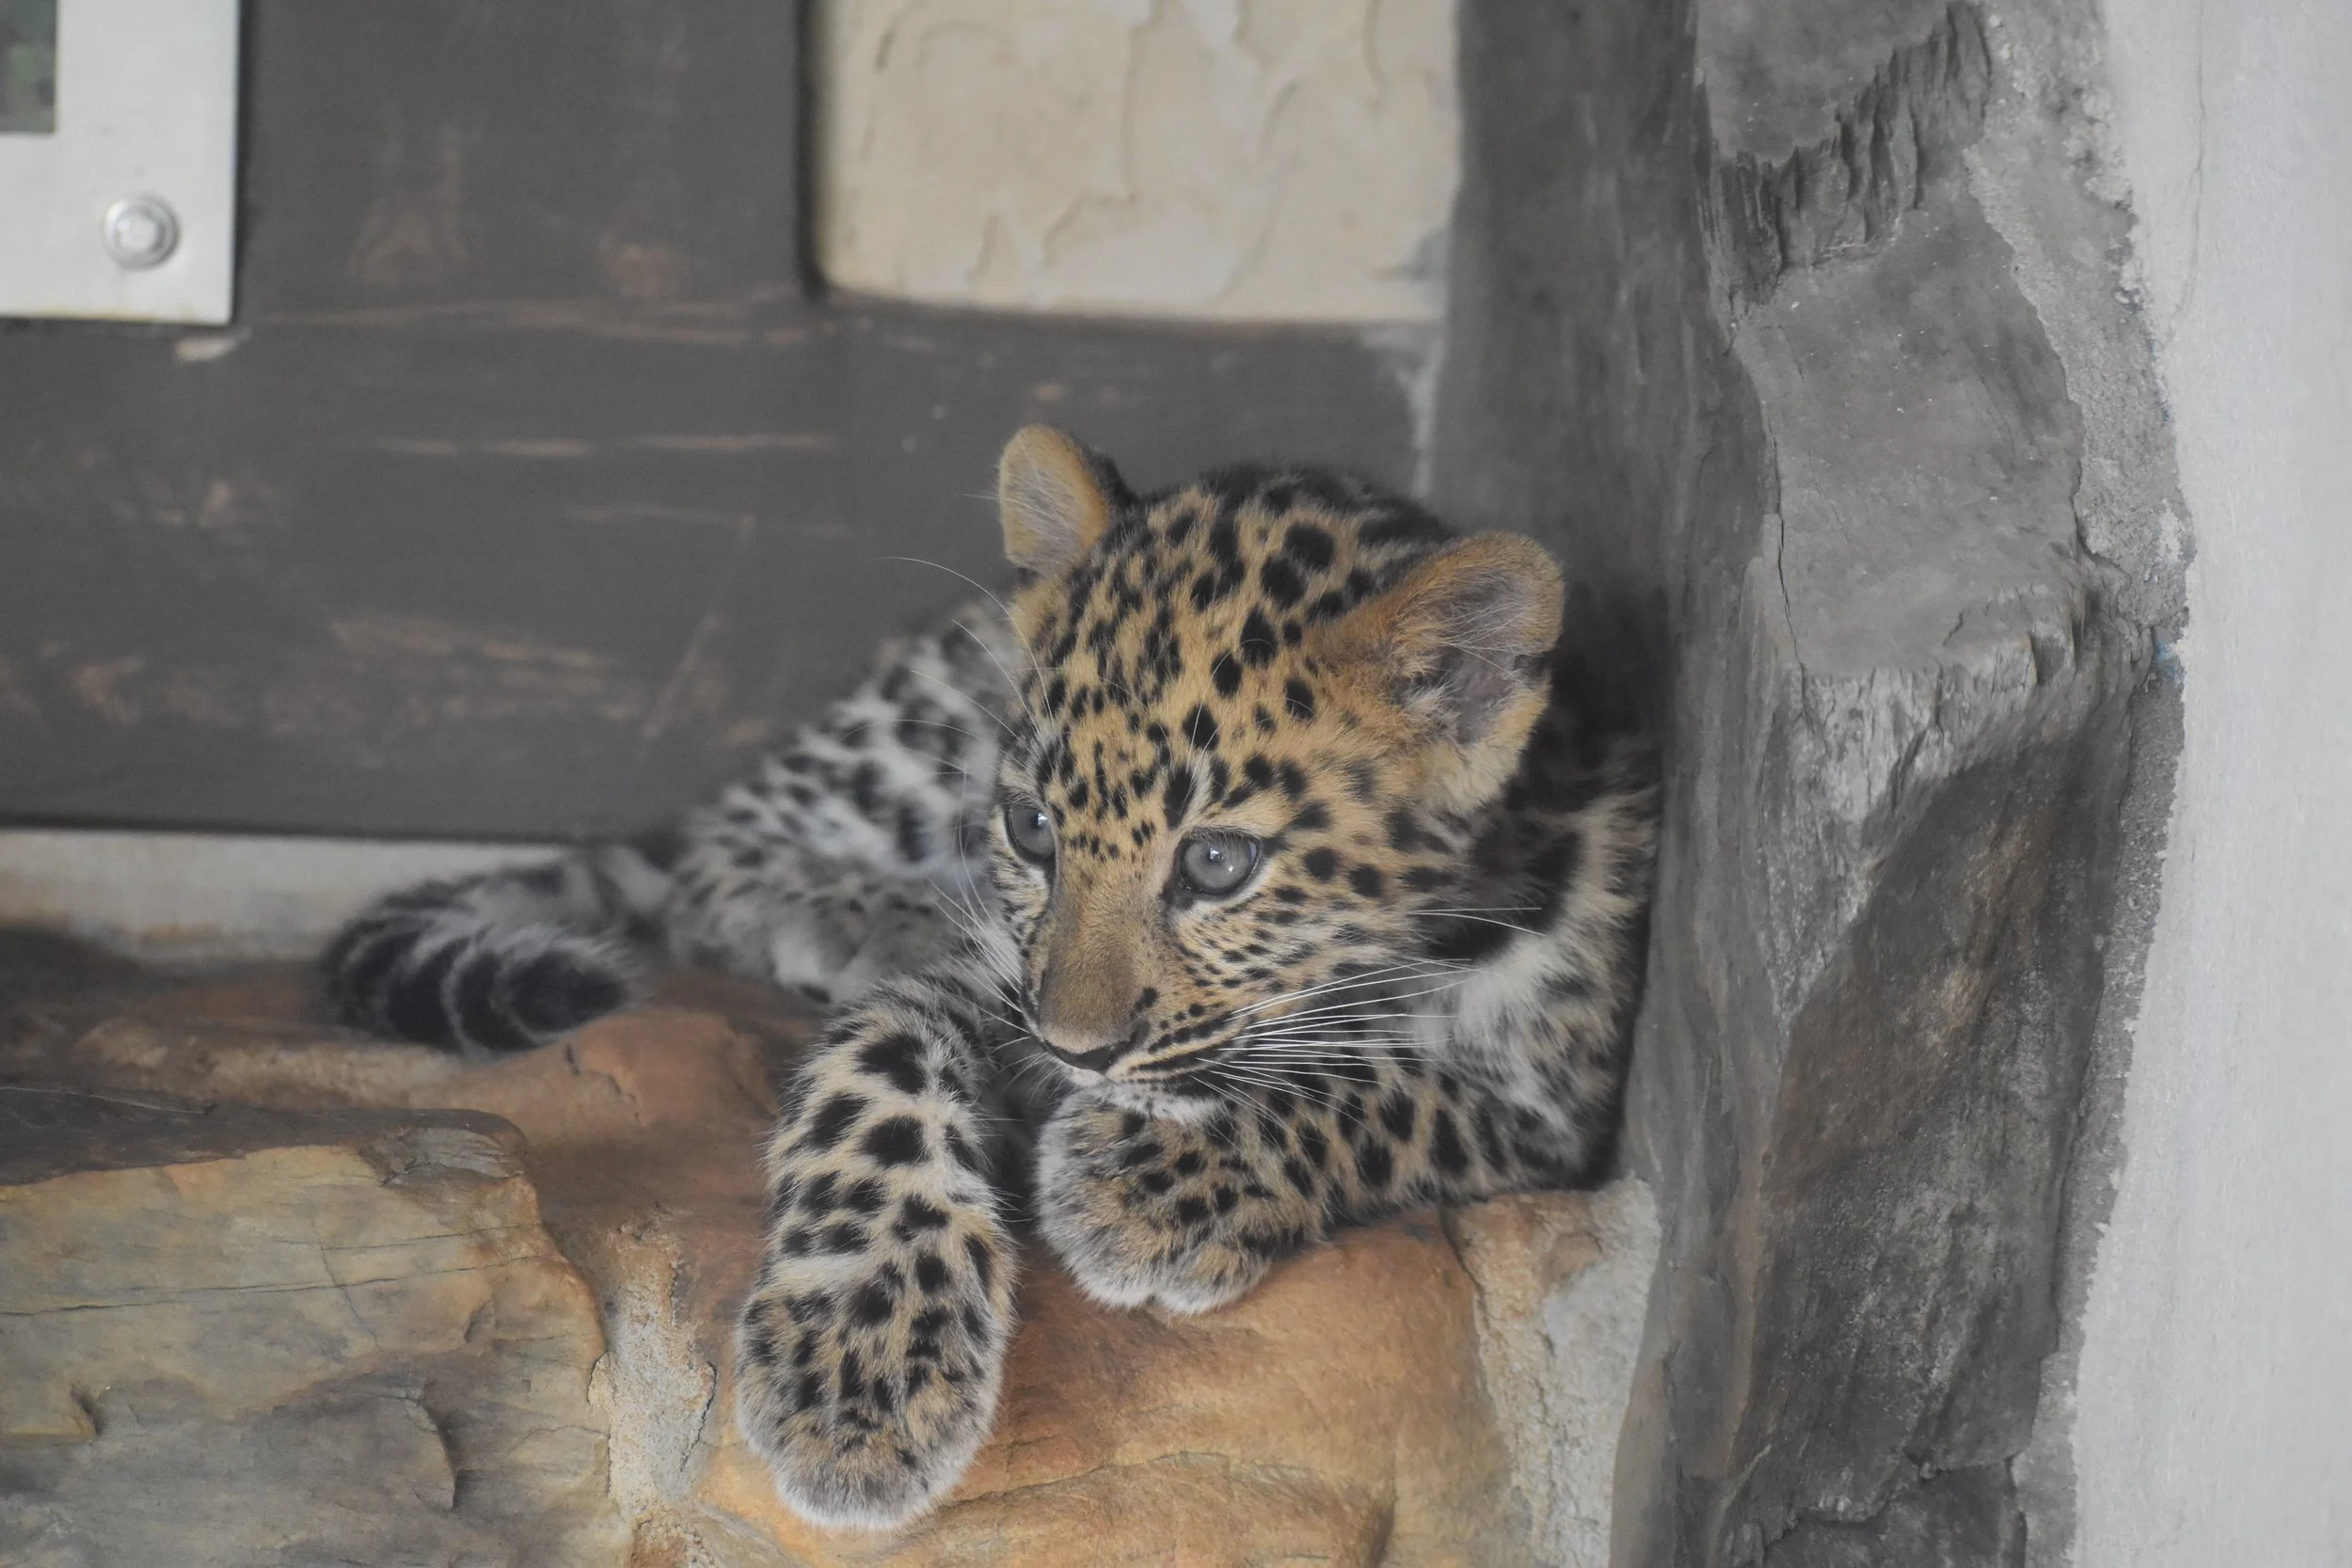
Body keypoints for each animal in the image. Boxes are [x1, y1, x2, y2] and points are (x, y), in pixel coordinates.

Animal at [321, 426, 1658, 1531]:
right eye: (1030, 827)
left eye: (1217, 861)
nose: (1070, 1052)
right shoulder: (986, 987)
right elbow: (881, 1065)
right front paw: (857, 1364)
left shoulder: (1558, 1105)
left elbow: (1390, 1091)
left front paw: (1144, 1176)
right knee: (715, 853)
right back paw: (877, 912)